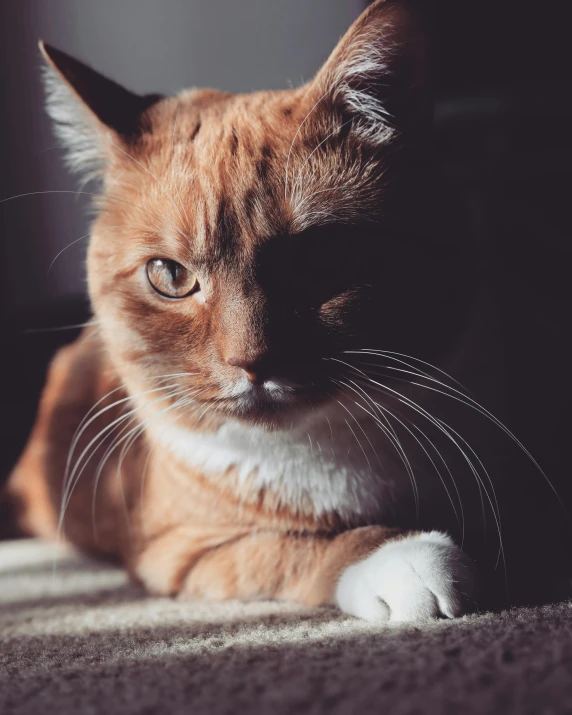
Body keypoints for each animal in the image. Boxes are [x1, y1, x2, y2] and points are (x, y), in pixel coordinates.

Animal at [3, 0, 520, 624]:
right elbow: (294, 548)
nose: (250, 361)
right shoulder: (185, 551)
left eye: (320, 259)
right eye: (170, 276)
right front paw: (403, 556)